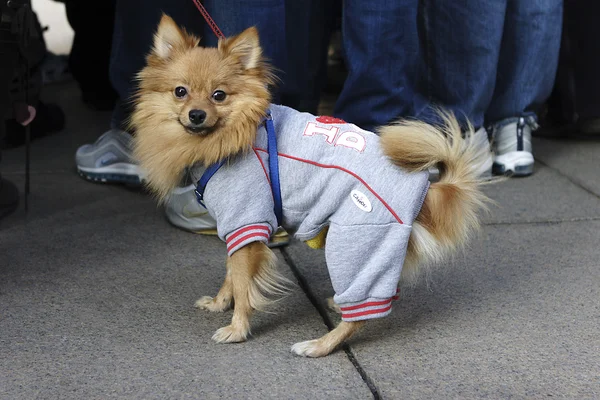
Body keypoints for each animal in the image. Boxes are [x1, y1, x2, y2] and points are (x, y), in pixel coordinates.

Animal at [130, 15, 488, 358]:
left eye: (219, 95)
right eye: (180, 92)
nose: (196, 114)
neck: (227, 138)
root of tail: (423, 185)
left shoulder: (247, 220)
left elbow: (244, 286)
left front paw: (237, 329)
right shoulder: (237, 229)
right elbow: (232, 275)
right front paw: (219, 304)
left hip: (355, 242)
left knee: (360, 314)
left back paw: (319, 345)